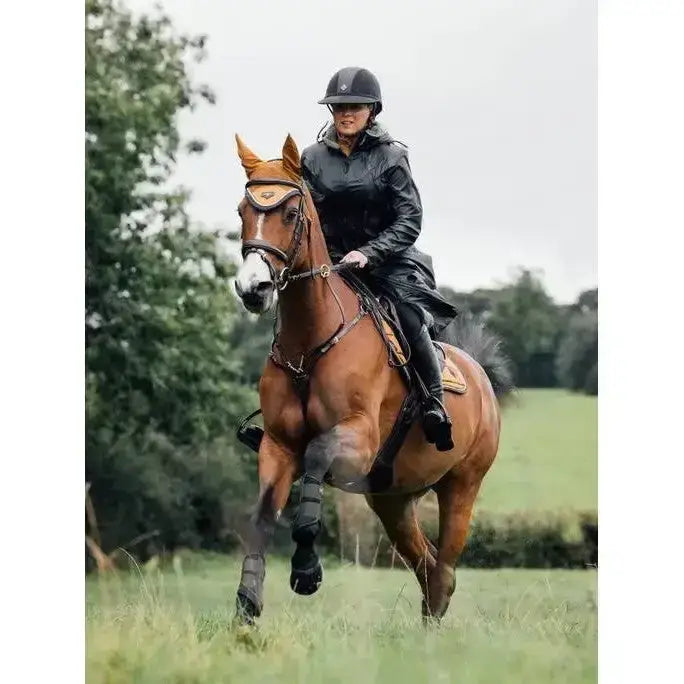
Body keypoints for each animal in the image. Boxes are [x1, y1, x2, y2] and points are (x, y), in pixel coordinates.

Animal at [232, 133, 513, 623]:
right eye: (241, 211)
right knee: (428, 566)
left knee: (444, 566)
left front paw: (306, 571)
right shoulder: (278, 446)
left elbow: (315, 462)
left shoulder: (357, 439)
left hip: (462, 488)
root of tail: (480, 375)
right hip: (391, 499)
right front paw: (247, 602)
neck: (310, 343)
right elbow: (263, 516)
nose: (253, 288)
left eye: (290, 213)